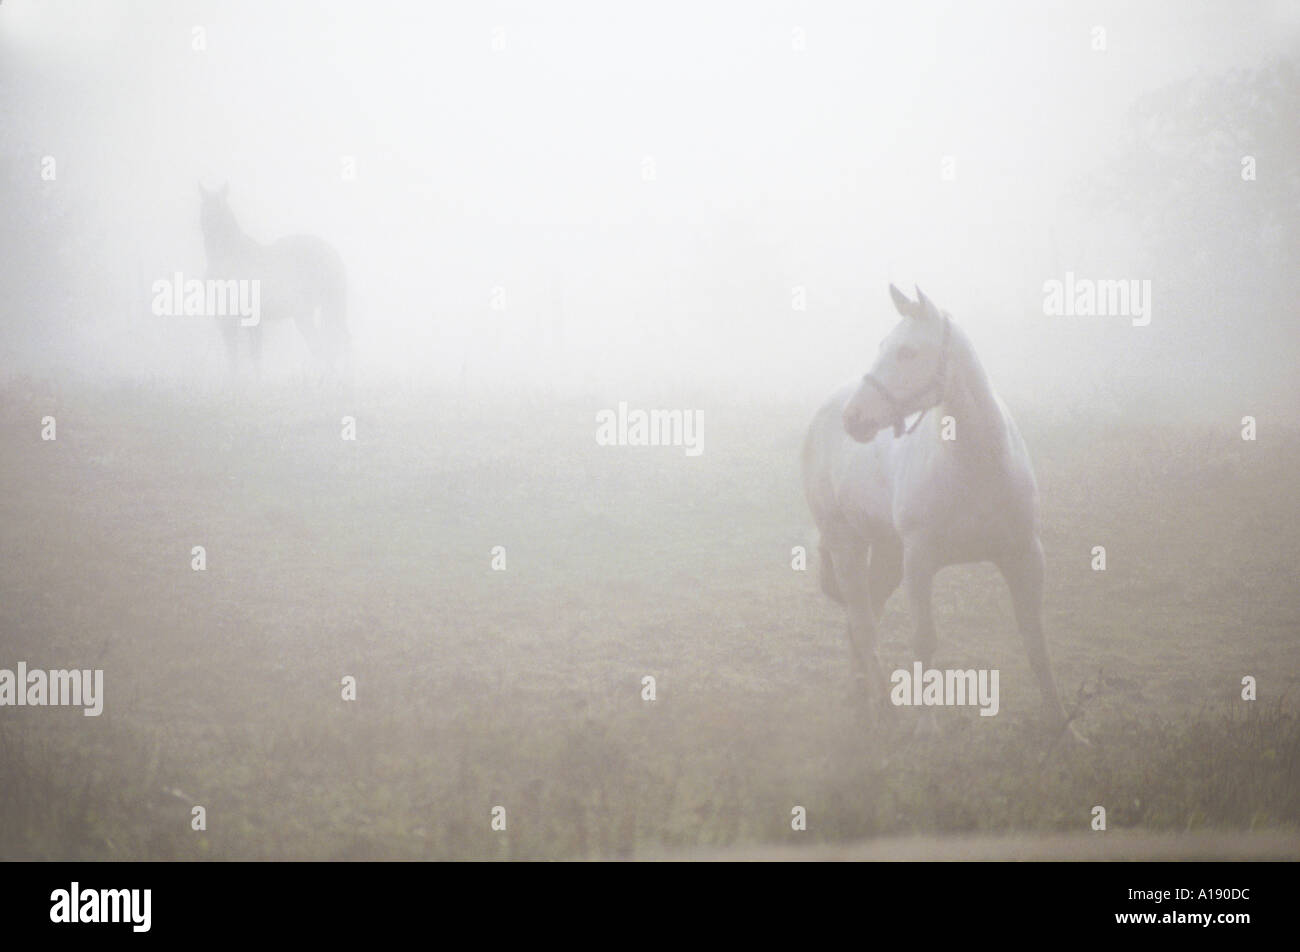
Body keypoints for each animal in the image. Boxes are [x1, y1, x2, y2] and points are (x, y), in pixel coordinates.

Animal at [199, 183, 349, 379]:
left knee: (327, 346)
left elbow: (246, 355)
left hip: (315, 311)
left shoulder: (239, 318)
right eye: (204, 210)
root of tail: (333, 255)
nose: (213, 235)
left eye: (221, 211)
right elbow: (243, 356)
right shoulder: (238, 319)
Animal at [802, 284, 1087, 743]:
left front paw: (1065, 729)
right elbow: (924, 640)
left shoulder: (1025, 556)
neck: (978, 465)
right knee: (863, 622)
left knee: (861, 617)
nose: (854, 418)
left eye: (907, 351)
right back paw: (884, 708)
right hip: (848, 545)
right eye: (884, 346)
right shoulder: (920, 562)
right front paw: (927, 728)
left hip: (886, 554)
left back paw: (863, 698)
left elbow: (1036, 642)